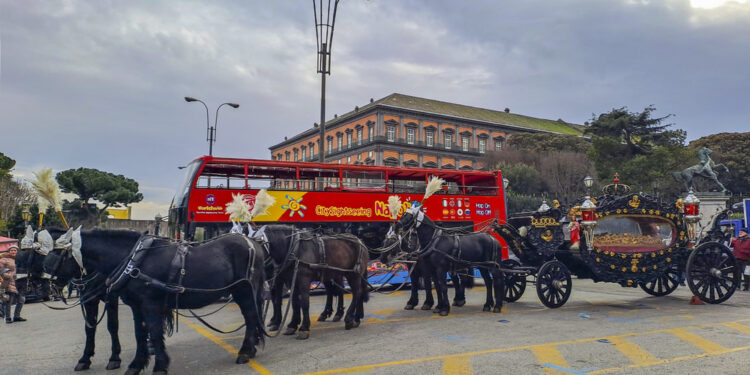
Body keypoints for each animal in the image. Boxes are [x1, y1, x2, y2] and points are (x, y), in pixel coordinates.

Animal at [44, 231, 268, 374]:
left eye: (58, 253)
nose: (46, 275)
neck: (133, 260)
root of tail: (254, 243)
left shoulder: (150, 304)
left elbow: (154, 332)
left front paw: (160, 365)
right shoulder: (136, 305)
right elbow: (140, 334)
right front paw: (136, 364)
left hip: (244, 291)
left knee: (251, 318)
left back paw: (245, 352)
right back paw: (251, 349)